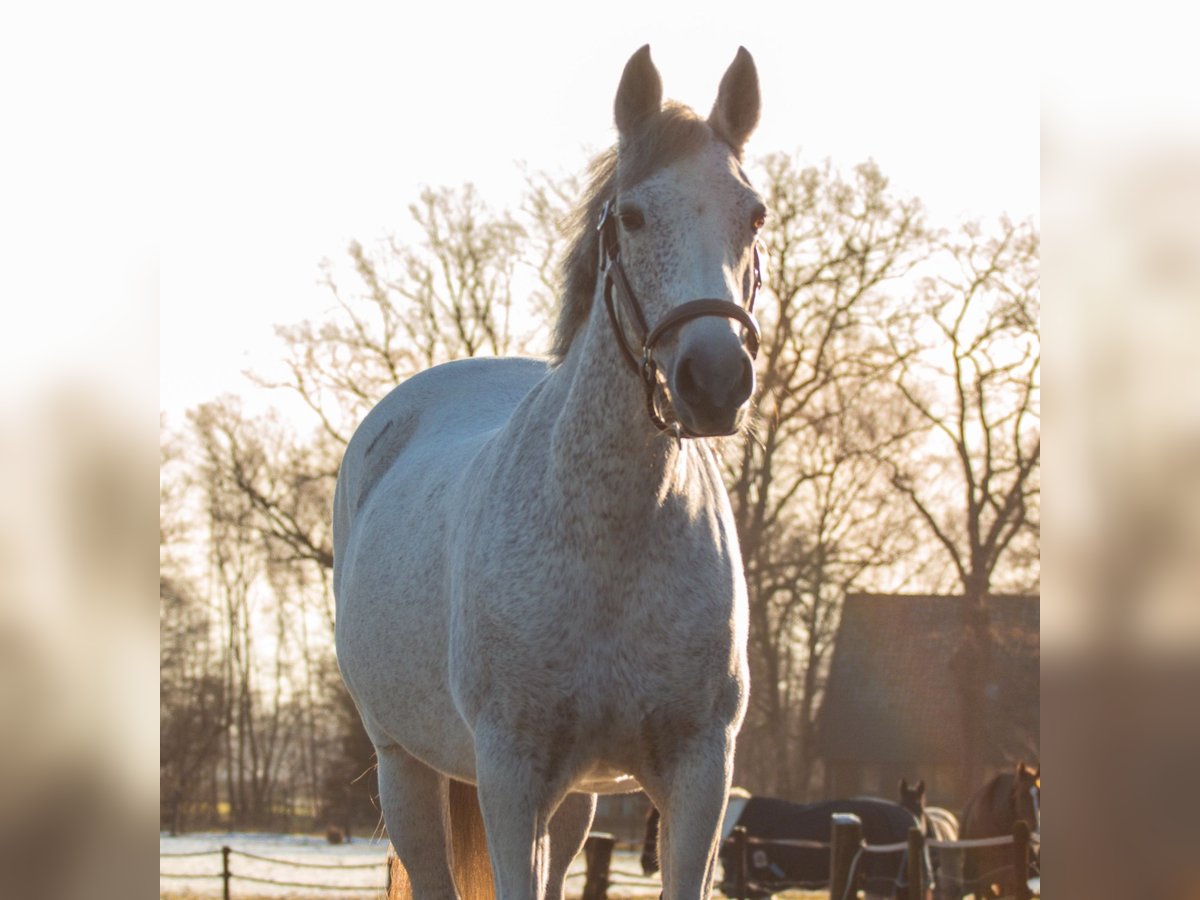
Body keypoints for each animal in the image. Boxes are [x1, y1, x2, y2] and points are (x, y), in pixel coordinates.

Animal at [336, 44, 768, 900]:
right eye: (632, 216)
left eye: (754, 214)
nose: (714, 379)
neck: (611, 541)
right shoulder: (511, 777)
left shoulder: (699, 776)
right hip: (406, 768)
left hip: (573, 802)